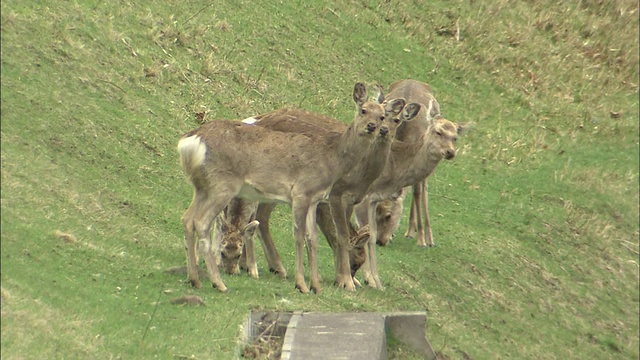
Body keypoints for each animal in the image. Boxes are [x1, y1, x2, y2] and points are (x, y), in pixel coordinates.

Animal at [179, 82, 390, 292]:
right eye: (363, 110)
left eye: (382, 116)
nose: (372, 126)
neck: (331, 157)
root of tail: (190, 142)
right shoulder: (301, 192)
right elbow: (298, 234)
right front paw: (302, 284)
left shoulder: (314, 198)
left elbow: (313, 238)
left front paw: (316, 286)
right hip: (222, 184)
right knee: (201, 222)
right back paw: (218, 282)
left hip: (202, 187)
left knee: (188, 218)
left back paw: (195, 279)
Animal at [240, 95, 420, 290]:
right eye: (357, 260)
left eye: (395, 119)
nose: (382, 130)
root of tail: (254, 119)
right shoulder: (334, 195)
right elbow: (336, 233)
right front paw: (345, 280)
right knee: (259, 215)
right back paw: (267, 267)